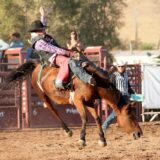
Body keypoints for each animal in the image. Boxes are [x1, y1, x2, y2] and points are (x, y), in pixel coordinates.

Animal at [6, 60, 142, 146]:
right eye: (130, 116)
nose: (139, 133)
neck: (93, 83)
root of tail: (38, 66)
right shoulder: (78, 101)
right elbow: (84, 118)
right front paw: (82, 139)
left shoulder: (89, 102)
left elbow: (97, 118)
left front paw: (102, 139)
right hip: (43, 95)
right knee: (52, 109)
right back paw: (67, 130)